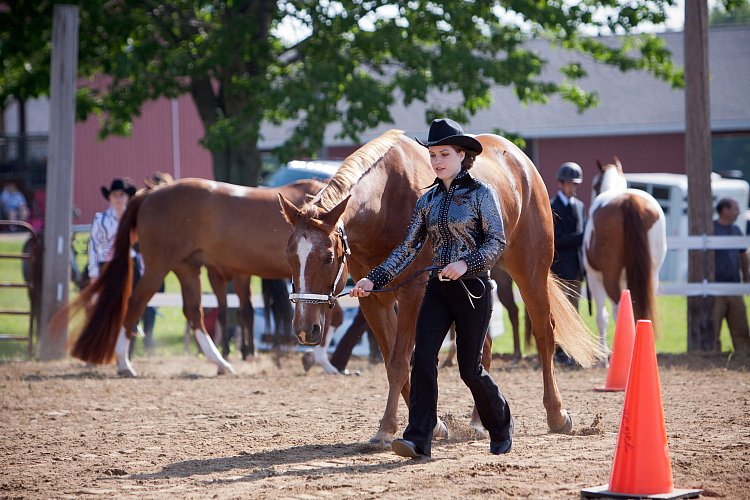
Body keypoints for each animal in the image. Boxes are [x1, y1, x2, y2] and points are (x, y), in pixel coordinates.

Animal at [70, 178, 326, 376]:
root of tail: (151, 194)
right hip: (157, 268)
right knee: (136, 303)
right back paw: (124, 363)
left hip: (187, 269)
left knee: (193, 312)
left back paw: (221, 362)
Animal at [280, 129, 604, 446]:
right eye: (289, 256)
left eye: (328, 257)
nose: (304, 330)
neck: (385, 202)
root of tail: (521, 161)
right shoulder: (373, 299)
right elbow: (392, 360)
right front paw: (434, 426)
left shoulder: (413, 293)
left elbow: (400, 362)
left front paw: (386, 429)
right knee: (482, 349)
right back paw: (479, 423)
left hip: (530, 272)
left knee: (544, 333)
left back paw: (557, 415)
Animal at [584, 157, 668, 356]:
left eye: (594, 185)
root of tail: (629, 201)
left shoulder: (594, 277)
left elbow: (601, 317)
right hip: (652, 275)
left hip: (609, 277)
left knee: (616, 310)